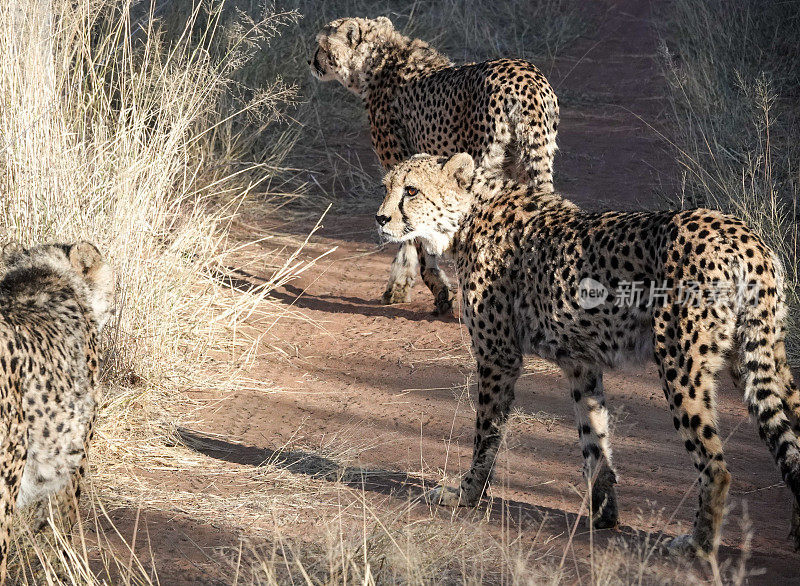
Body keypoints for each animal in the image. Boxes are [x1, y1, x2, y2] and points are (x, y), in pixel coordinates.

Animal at [310, 14, 560, 314]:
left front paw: (428, 288)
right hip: (532, 159)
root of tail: (524, 76)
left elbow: (409, 231)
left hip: (484, 161)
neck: (379, 60)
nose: (310, 61)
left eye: (321, 44)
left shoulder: (400, 166)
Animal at [376, 153, 800, 560]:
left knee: (716, 466)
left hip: (681, 364)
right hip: (761, 357)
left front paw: (465, 494)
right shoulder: (581, 363)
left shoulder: (498, 356)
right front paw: (605, 512)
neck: (468, 215)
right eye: (387, 187)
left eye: (411, 190)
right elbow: (593, 438)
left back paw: (699, 545)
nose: (380, 218)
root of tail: (743, 236)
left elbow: (486, 434)